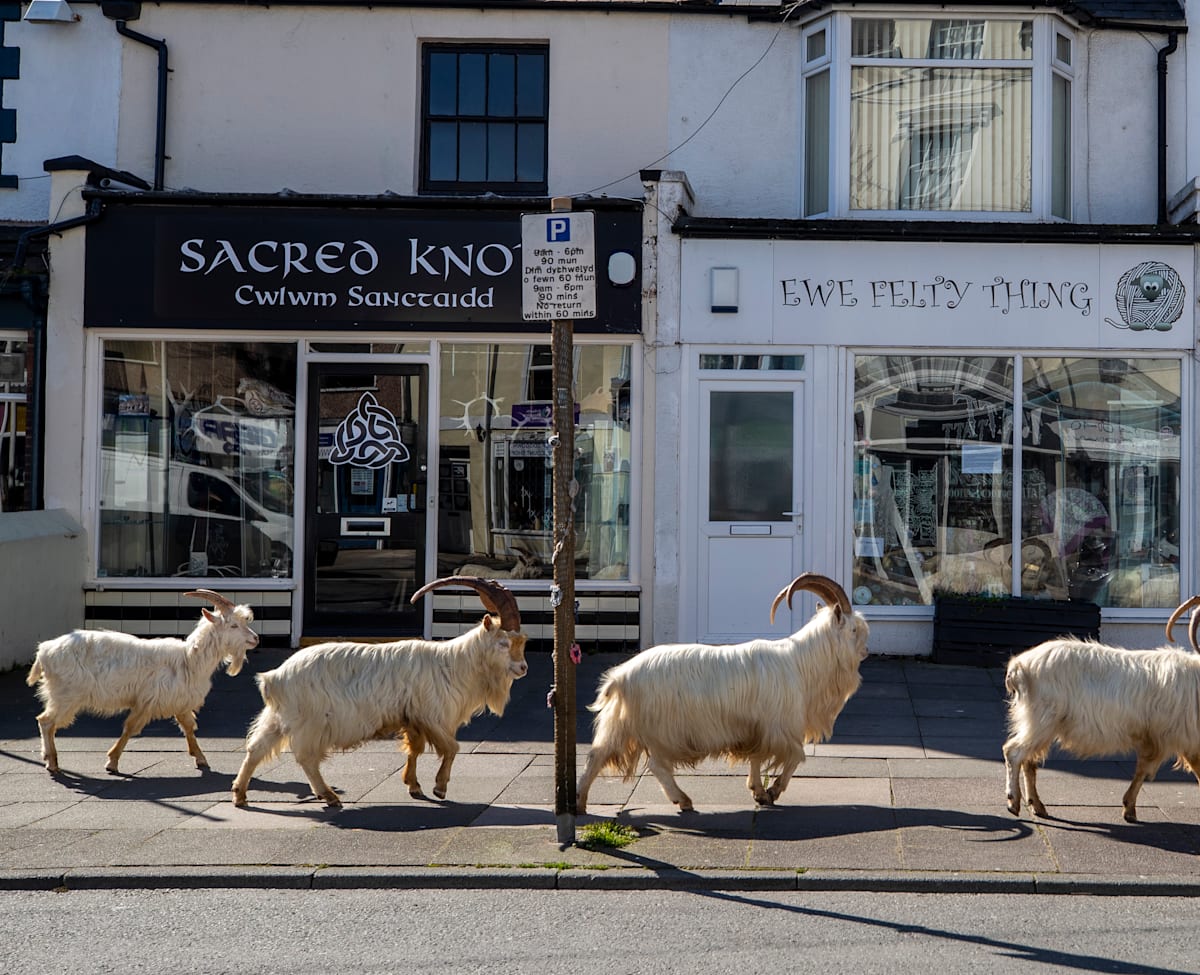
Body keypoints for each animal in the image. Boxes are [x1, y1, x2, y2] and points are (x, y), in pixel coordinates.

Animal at [25, 590, 258, 773]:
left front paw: (200, 758)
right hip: (66, 695)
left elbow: (189, 728)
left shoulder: (179, 701)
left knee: (46, 722)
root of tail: (44, 651)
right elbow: (130, 728)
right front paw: (112, 762)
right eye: (233, 626)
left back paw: (48, 758)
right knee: (46, 721)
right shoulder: (147, 701)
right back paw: (52, 762)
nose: (255, 639)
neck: (189, 659)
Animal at [234, 578, 530, 806]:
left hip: (279, 717)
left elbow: (415, 749)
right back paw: (328, 796)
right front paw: (439, 788)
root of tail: (275, 677)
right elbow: (452, 747)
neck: (454, 663)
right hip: (312, 721)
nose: (523, 668)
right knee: (306, 758)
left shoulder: (412, 718)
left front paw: (414, 785)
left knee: (257, 747)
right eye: (504, 643)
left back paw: (240, 794)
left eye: (522, 641)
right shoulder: (432, 715)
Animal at [576, 573, 868, 811]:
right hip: (662, 729)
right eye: (854, 629)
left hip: (621, 724)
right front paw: (773, 790)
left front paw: (759, 792)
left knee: (597, 755)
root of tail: (621, 677)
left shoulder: (757, 727)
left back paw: (580, 802)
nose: (865, 651)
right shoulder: (780, 727)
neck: (801, 663)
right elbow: (796, 757)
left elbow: (756, 757)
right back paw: (682, 799)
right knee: (656, 765)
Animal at [1003, 593, 1200, 821]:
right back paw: (1013, 802)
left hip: (1039, 723)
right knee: (1013, 752)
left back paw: (1037, 806)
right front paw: (1129, 808)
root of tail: (1018, 666)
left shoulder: (1157, 737)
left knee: (1028, 760)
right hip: (1040, 719)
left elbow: (1142, 769)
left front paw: (1129, 808)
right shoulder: (1178, 737)